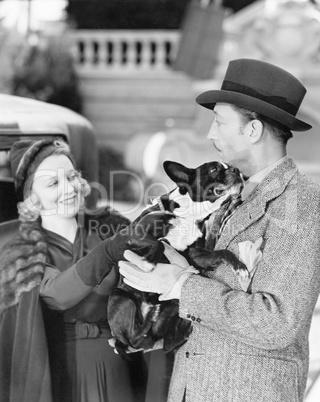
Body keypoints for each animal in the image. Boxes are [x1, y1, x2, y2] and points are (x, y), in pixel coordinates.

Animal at [106, 160, 246, 354]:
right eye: (213, 169)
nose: (237, 170)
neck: (190, 216)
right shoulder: (137, 235)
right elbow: (158, 244)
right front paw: (149, 262)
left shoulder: (195, 254)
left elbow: (222, 253)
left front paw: (239, 266)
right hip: (120, 297)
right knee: (135, 339)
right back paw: (151, 316)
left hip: (172, 305)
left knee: (161, 343)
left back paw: (178, 330)